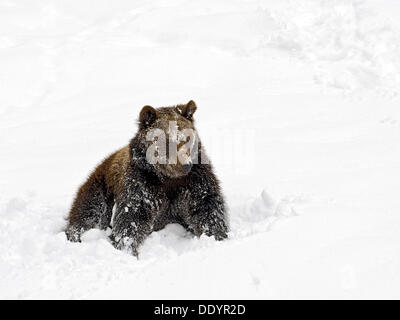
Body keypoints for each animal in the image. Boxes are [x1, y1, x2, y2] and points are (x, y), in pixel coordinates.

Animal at [65, 101, 228, 256]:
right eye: (167, 141)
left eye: (187, 138)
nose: (185, 165)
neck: (168, 178)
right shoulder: (142, 183)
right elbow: (132, 218)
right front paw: (127, 249)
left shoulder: (195, 180)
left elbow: (206, 209)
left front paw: (216, 237)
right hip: (101, 186)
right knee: (90, 213)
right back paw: (76, 234)